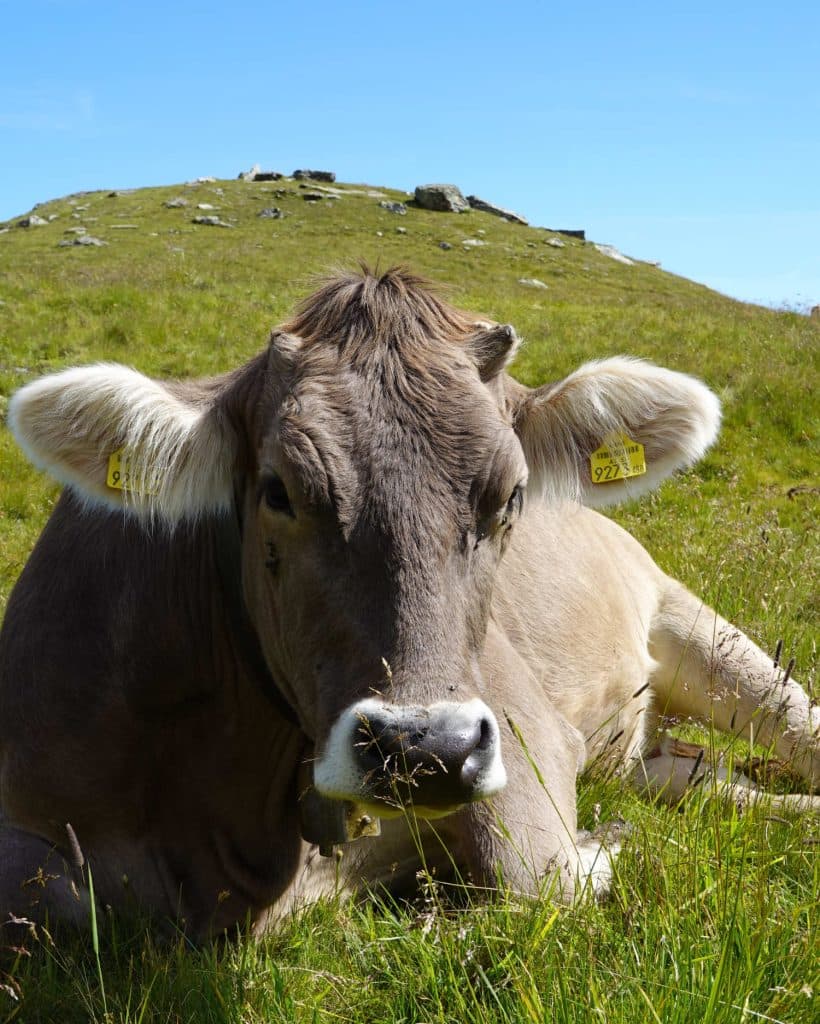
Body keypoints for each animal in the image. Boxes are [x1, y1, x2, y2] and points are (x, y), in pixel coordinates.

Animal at [1, 267, 817, 943]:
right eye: (277, 490)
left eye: (511, 495)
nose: (426, 749)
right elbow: (37, 904)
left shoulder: (525, 729)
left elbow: (536, 884)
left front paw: (603, 846)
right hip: (642, 749)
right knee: (703, 781)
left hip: (701, 632)